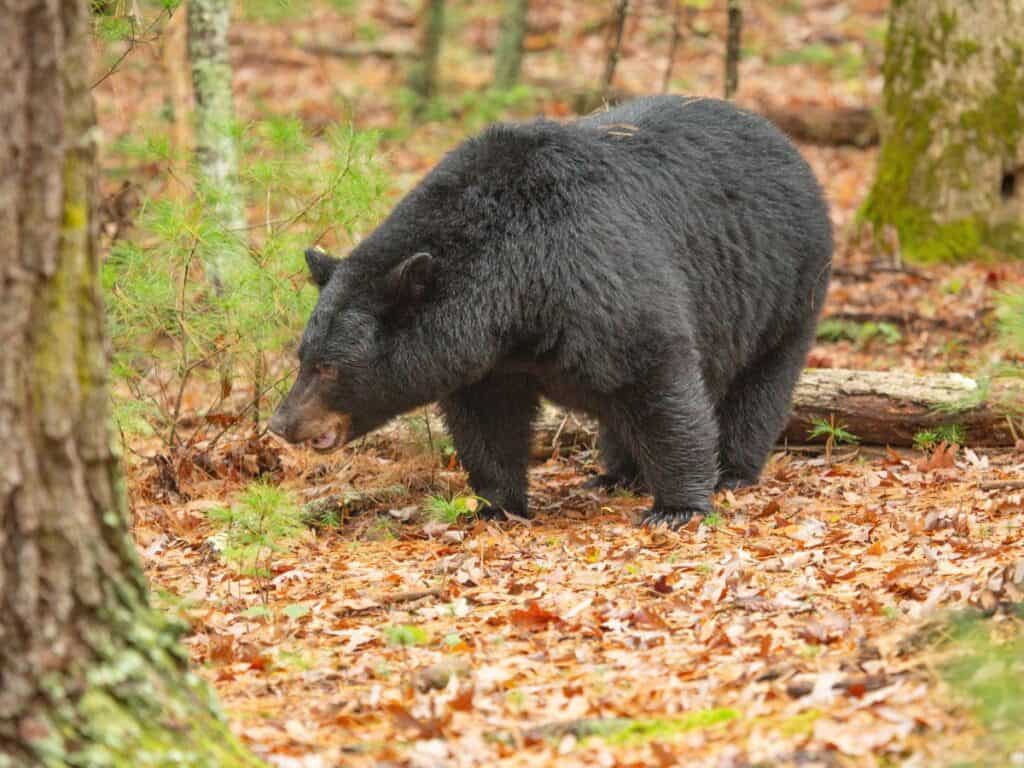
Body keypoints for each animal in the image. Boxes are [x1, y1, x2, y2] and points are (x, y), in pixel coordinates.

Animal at [269, 95, 833, 528]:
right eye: (303, 356)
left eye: (327, 366)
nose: (281, 423)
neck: (518, 290)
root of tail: (785, 142)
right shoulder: (487, 360)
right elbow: (488, 423)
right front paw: (495, 506)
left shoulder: (602, 277)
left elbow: (659, 380)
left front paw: (678, 507)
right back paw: (616, 473)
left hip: (787, 287)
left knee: (757, 384)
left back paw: (732, 469)